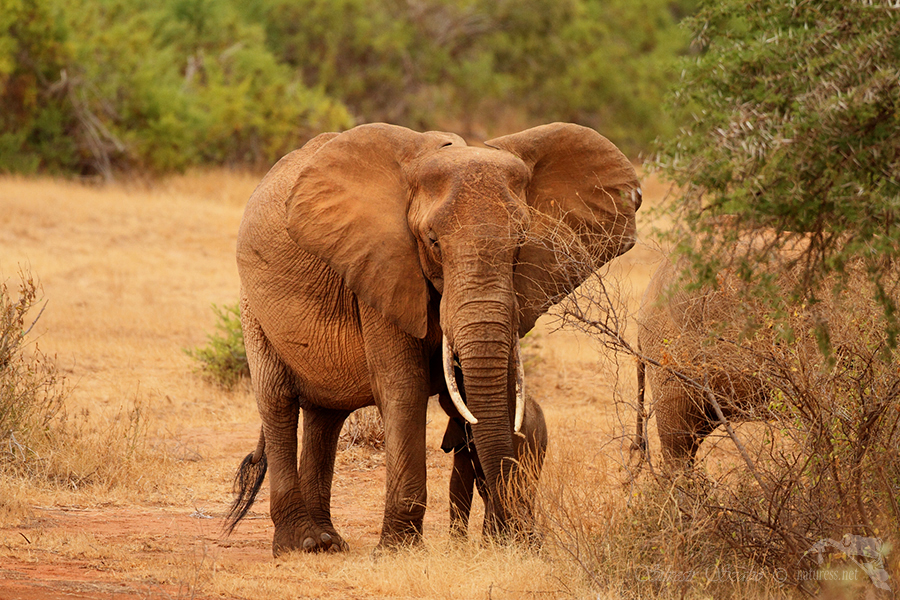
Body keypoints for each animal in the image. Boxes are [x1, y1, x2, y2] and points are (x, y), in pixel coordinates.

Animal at [221, 123, 636, 556]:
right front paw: (397, 551)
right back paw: (300, 544)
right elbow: (404, 386)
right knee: (278, 401)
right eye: (433, 241)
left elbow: (504, 388)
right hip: (252, 306)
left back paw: (328, 542)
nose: (523, 536)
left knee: (325, 416)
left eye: (522, 241)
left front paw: (509, 541)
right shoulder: (382, 264)